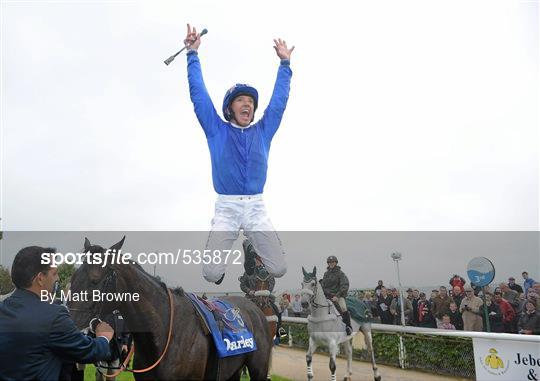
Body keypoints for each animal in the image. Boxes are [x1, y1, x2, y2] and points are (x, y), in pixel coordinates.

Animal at [68, 236, 274, 378]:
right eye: (73, 278)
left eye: (95, 280)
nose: (71, 328)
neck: (165, 330)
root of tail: (255, 308)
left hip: (258, 370)